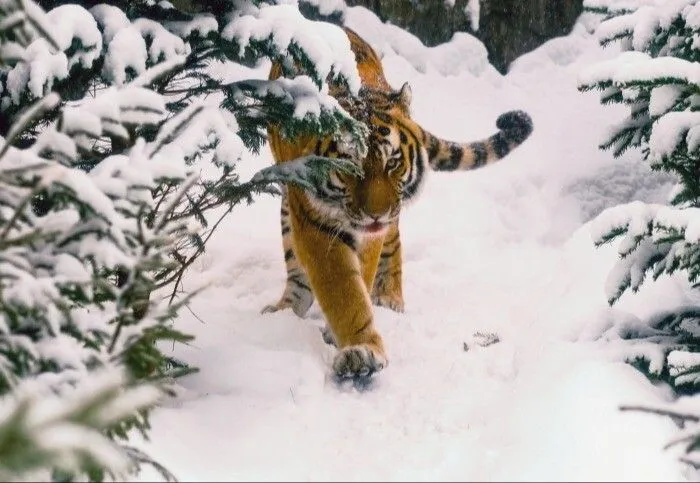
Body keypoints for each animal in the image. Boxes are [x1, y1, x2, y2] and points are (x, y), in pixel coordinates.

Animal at [262, 27, 532, 382]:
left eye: (392, 162)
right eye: (350, 165)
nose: (376, 215)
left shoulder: (370, 232)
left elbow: (359, 281)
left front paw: (357, 348)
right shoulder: (314, 223)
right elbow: (343, 290)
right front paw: (360, 349)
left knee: (393, 243)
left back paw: (389, 299)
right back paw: (285, 310)